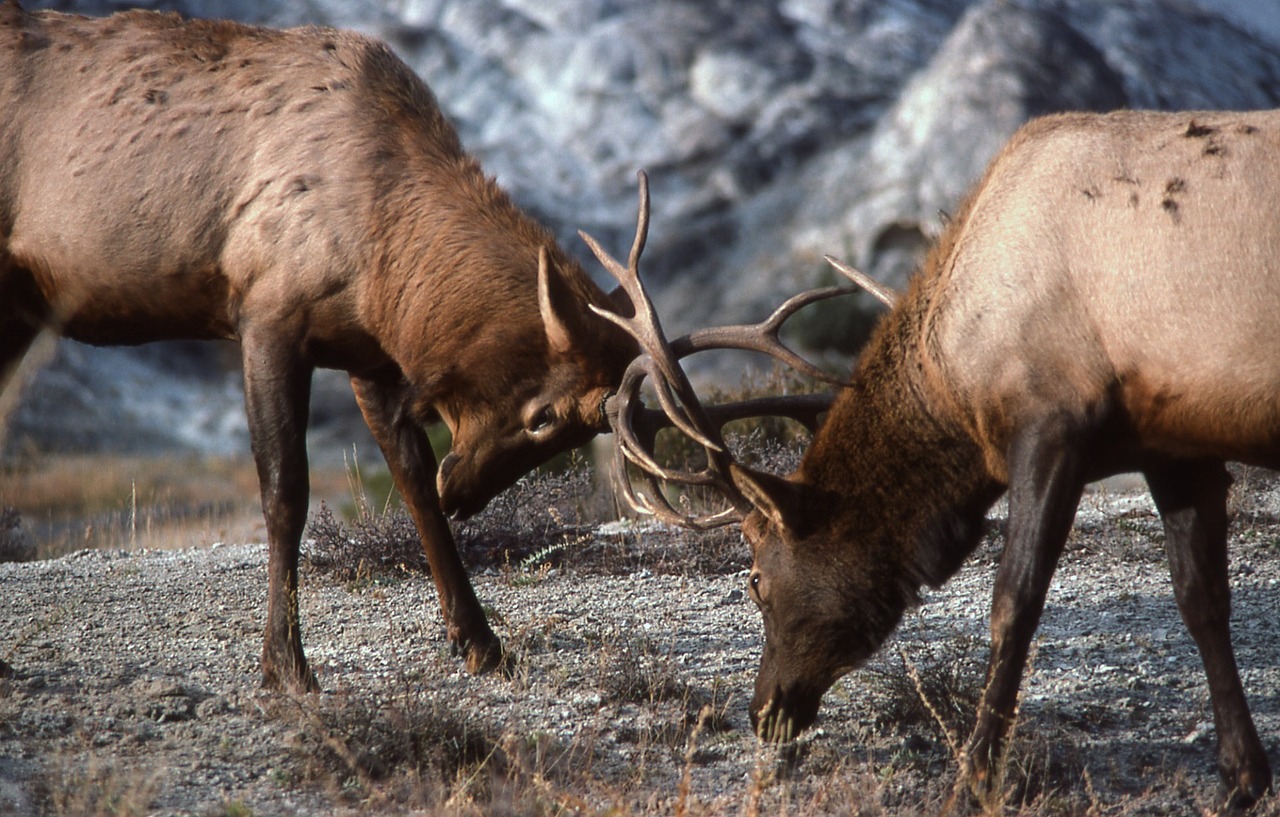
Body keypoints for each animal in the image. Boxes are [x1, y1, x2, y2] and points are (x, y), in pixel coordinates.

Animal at [0, 6, 640, 696]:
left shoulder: (370, 357)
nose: (465, 494)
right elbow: (285, 493)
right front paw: (285, 663)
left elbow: (412, 484)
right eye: (543, 417)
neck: (385, 258)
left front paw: (480, 642)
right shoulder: (266, 318)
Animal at [593, 110, 1280, 814]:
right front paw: (1242, 778)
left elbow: (1014, 604)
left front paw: (974, 776)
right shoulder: (1172, 441)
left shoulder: (1052, 424)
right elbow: (1202, 598)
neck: (961, 375)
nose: (764, 711)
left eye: (755, 579)